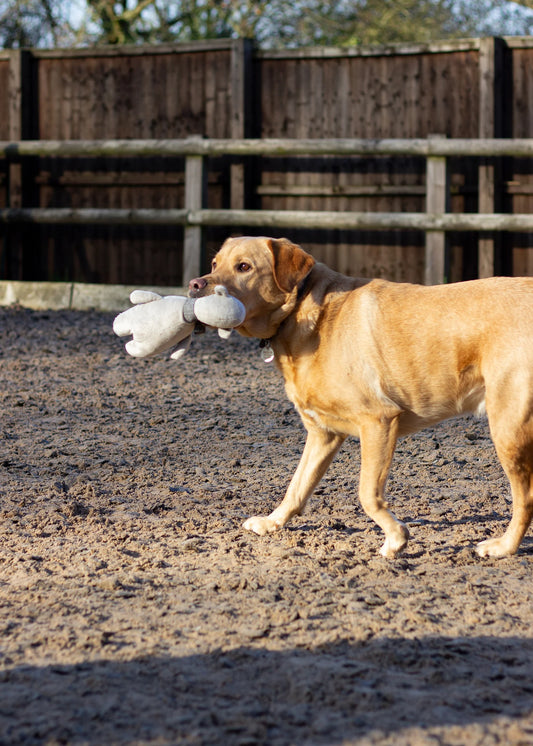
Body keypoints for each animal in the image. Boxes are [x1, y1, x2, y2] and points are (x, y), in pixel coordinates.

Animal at [188, 235, 532, 556]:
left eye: (244, 267)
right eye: (215, 263)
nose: (194, 285)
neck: (304, 314)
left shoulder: (378, 421)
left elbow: (367, 494)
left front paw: (396, 538)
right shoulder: (323, 434)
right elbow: (297, 486)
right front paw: (271, 522)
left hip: (507, 430)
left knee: (524, 498)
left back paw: (504, 547)